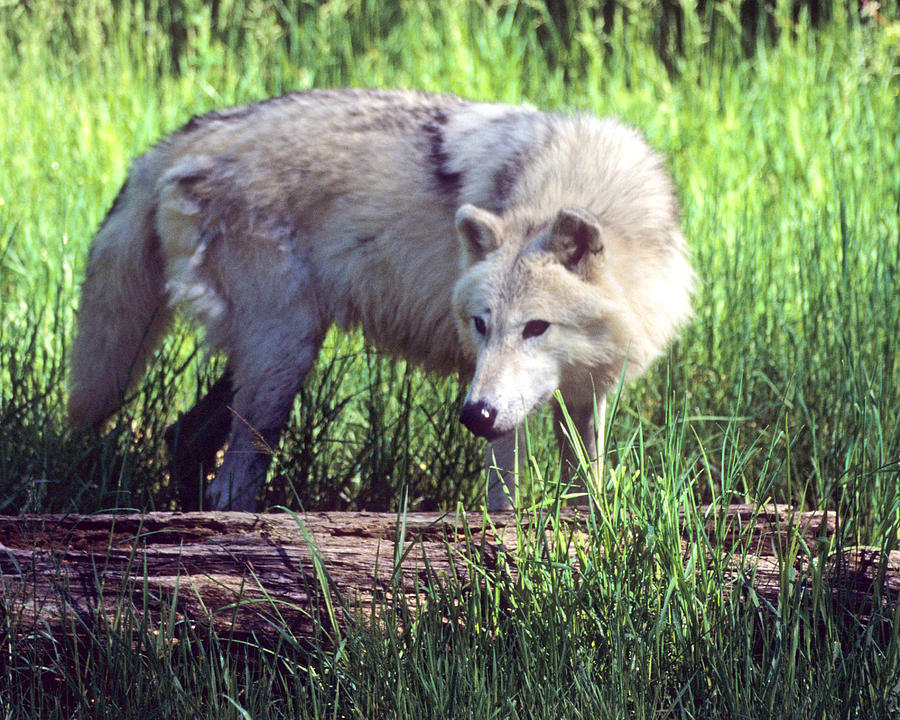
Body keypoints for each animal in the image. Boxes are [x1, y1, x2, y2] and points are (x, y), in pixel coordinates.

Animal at [68, 87, 696, 510]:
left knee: (182, 435)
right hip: (282, 361)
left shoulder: (586, 397)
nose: (473, 415)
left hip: (275, 357)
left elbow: (587, 492)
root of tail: (178, 140)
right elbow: (504, 506)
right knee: (233, 482)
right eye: (480, 325)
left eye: (536, 327)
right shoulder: (504, 422)